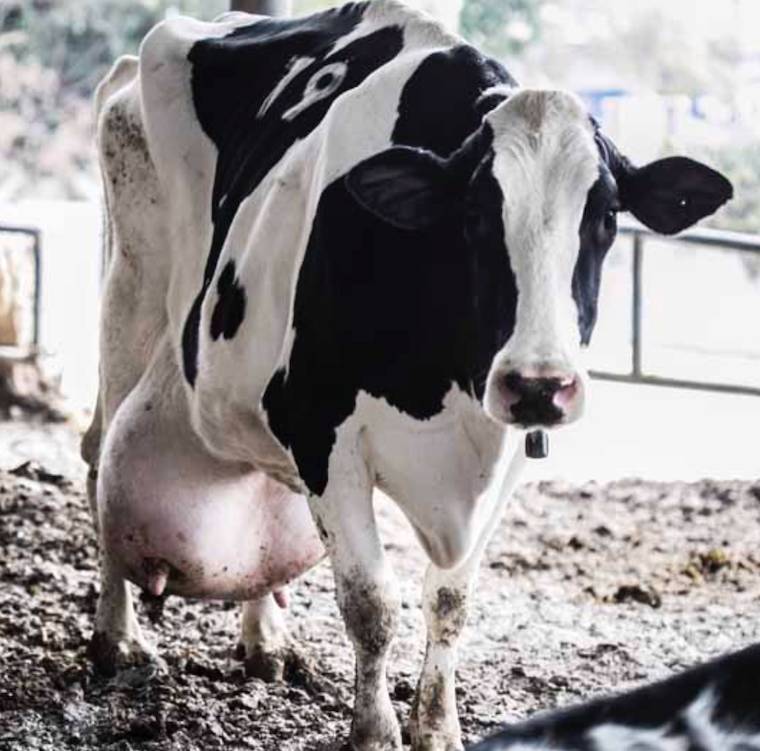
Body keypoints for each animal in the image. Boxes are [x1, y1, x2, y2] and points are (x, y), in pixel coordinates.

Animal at [81, 2, 732, 749]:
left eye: (604, 218)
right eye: (475, 214)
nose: (538, 384)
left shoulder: (508, 455)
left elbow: (450, 598)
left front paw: (438, 725)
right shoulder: (323, 432)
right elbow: (371, 602)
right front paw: (373, 729)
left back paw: (265, 639)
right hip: (129, 289)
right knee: (99, 458)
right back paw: (116, 638)